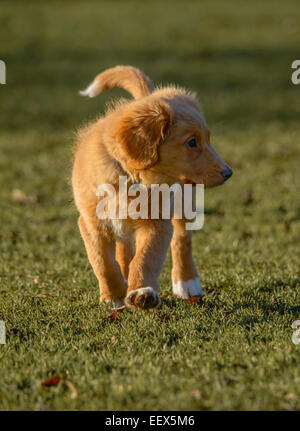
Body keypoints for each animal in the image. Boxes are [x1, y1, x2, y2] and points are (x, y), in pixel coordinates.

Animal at [72, 65, 232, 310]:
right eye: (192, 142)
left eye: (208, 140)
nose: (228, 173)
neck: (132, 179)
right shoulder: (92, 222)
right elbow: (102, 261)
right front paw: (113, 296)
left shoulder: (157, 223)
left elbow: (145, 258)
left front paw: (141, 292)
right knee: (124, 248)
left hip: (184, 201)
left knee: (182, 239)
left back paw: (187, 282)